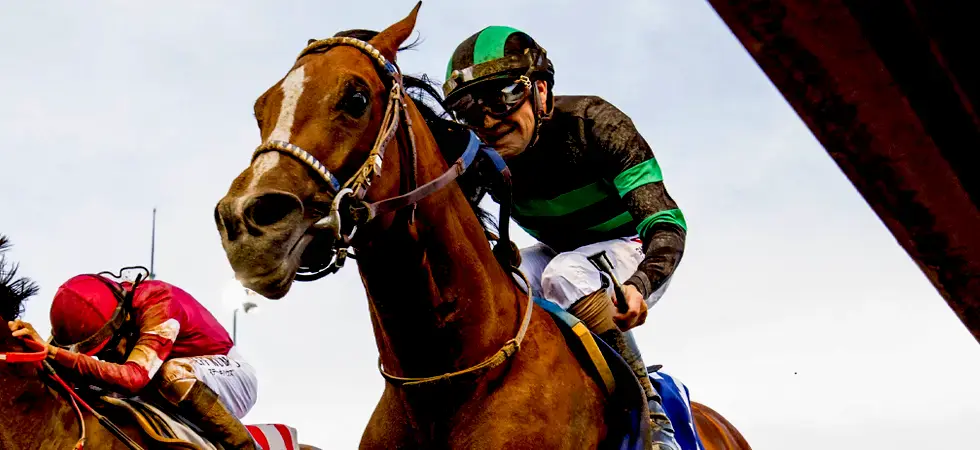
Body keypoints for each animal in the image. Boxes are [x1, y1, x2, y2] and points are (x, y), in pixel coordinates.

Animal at [213, 3, 751, 449]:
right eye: (261, 107)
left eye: (356, 97)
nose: (245, 222)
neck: (443, 383)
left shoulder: (608, 125)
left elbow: (659, 214)